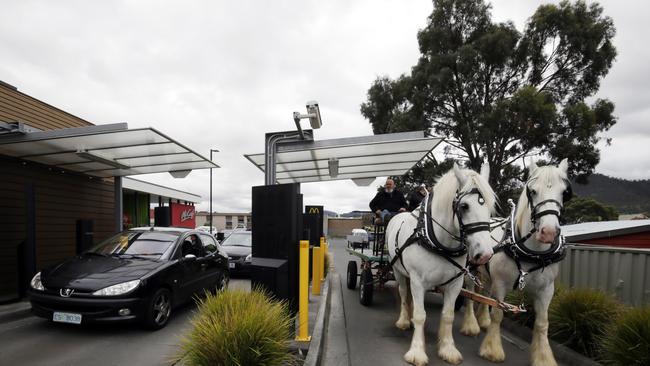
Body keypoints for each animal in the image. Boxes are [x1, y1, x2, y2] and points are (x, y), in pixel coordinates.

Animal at [384, 164, 496, 366]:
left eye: (490, 207)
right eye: (464, 206)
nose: (484, 255)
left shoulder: (455, 283)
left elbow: (448, 315)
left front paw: (448, 349)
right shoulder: (418, 281)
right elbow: (420, 315)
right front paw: (417, 352)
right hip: (398, 270)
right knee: (404, 293)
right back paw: (404, 320)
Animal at [460, 159, 568, 366]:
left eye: (564, 192)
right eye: (532, 191)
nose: (549, 232)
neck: (532, 252)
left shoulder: (546, 289)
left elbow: (542, 323)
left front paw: (543, 357)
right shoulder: (502, 284)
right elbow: (498, 313)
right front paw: (492, 349)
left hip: (488, 275)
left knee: (485, 294)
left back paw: (483, 320)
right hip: (472, 269)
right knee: (469, 293)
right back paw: (471, 324)